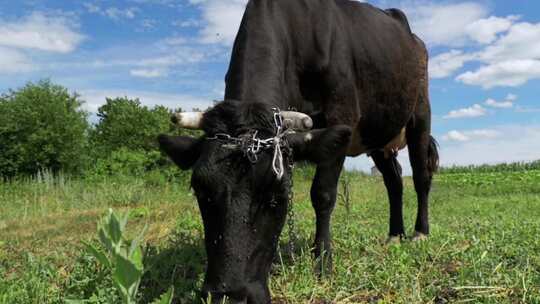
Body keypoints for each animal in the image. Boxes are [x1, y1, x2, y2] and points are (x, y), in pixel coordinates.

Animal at [158, 1, 436, 302]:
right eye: (200, 190)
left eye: (277, 196)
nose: (229, 294)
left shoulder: (343, 115)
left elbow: (322, 195)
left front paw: (323, 261)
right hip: (379, 134)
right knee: (394, 180)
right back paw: (395, 235)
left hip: (420, 113)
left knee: (420, 176)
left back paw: (420, 233)